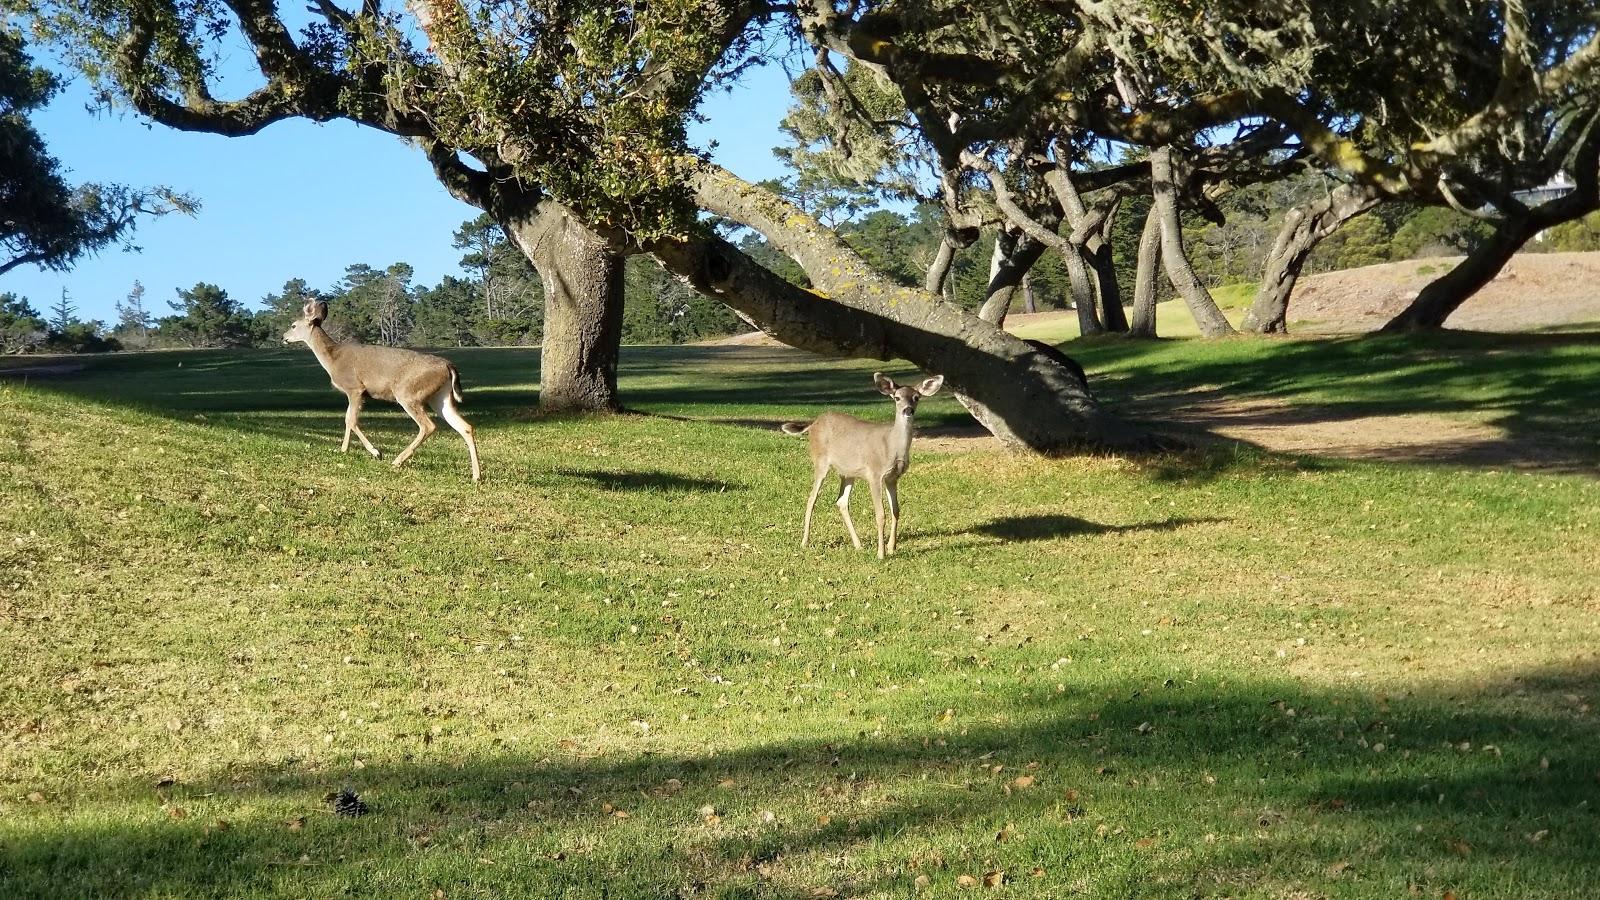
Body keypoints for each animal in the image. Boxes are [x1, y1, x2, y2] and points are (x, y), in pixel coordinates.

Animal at [281, 299, 480, 483]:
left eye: (293, 325)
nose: (283, 337)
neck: (333, 359)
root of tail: (448, 366)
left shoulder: (355, 387)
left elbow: (351, 420)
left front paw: (376, 452)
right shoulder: (355, 393)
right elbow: (347, 419)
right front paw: (344, 449)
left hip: (407, 393)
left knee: (428, 425)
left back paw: (397, 461)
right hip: (440, 397)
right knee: (465, 426)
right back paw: (476, 475)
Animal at [780, 369, 940, 554]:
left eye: (916, 397)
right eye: (897, 397)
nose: (908, 410)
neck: (892, 446)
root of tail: (813, 423)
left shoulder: (893, 478)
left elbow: (896, 511)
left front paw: (891, 548)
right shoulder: (875, 474)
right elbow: (880, 514)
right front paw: (881, 553)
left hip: (848, 472)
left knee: (841, 501)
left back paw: (858, 544)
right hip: (820, 460)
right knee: (812, 497)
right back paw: (804, 542)